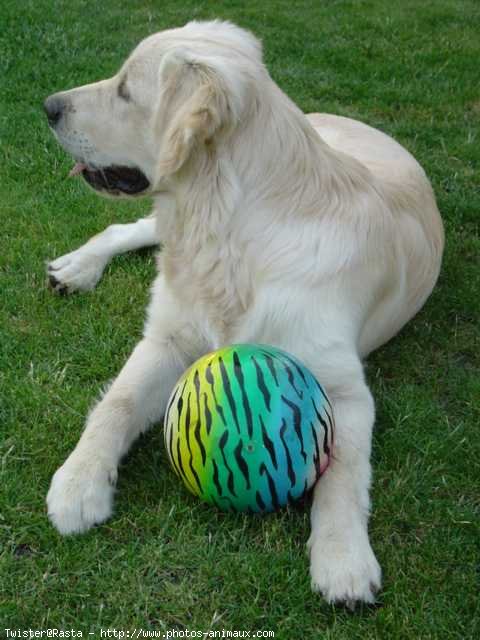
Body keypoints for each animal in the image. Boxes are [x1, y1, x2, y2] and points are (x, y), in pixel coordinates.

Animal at [43, 20, 444, 608]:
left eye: (125, 91)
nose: (48, 106)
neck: (230, 234)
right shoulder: (165, 338)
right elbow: (116, 404)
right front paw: (78, 482)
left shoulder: (345, 389)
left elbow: (344, 471)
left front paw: (343, 559)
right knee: (126, 229)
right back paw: (78, 266)